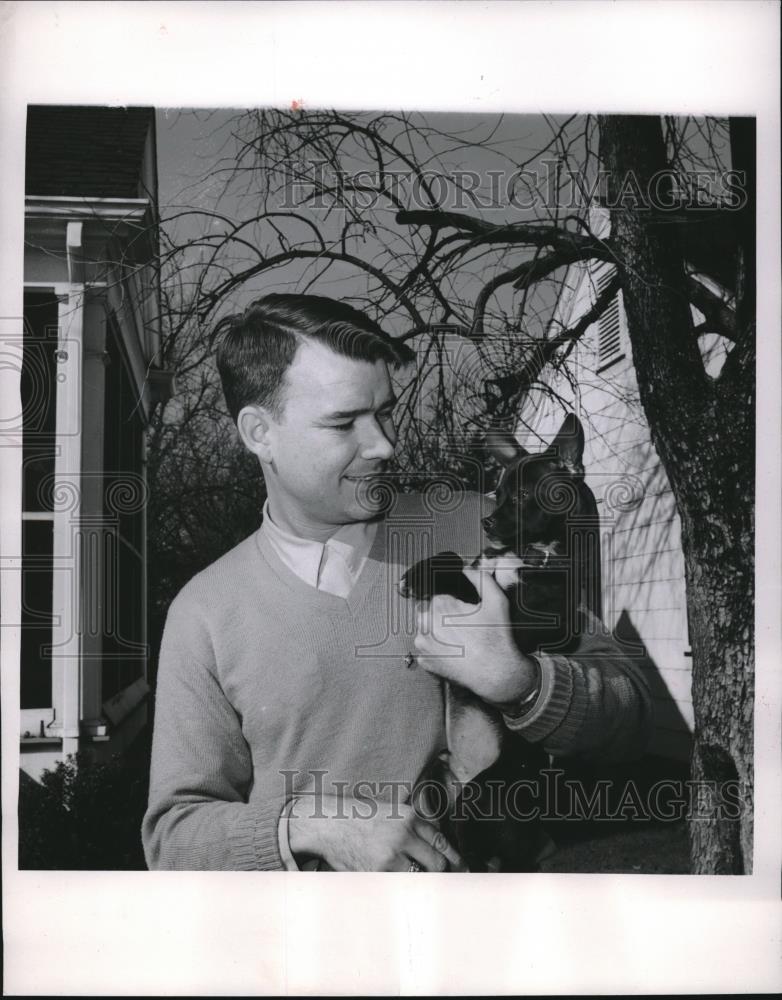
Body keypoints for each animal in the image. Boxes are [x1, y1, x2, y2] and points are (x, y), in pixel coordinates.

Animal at [402, 414, 604, 868]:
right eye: (497, 493)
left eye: (525, 495)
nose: (487, 523)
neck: (528, 553)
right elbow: (455, 557)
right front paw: (420, 572)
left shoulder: (532, 619)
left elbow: (469, 583)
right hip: (433, 781)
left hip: (483, 797)